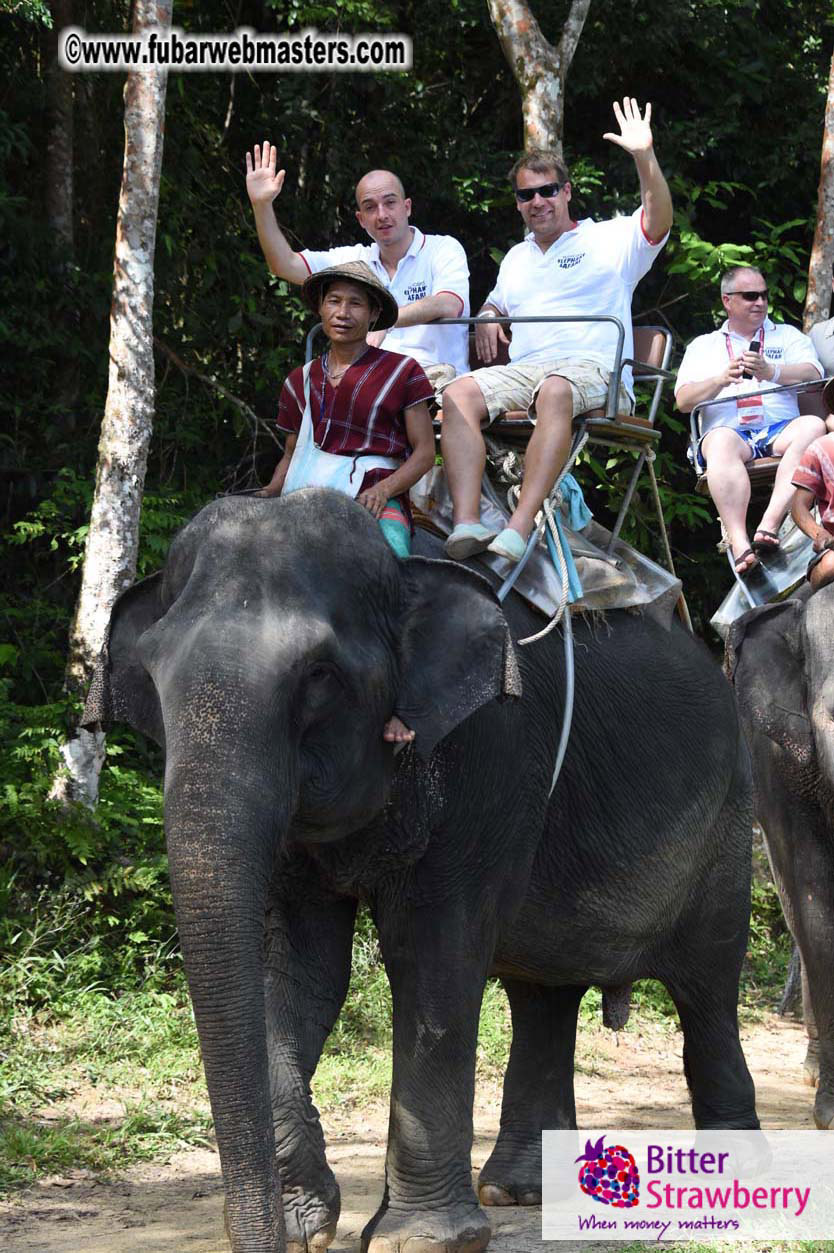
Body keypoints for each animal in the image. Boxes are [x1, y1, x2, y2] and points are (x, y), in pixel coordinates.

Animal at [83, 488, 759, 1253]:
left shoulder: (491, 752)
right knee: (544, 991)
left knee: (708, 982)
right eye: (153, 675)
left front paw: (423, 1238)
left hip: (728, 818)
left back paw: (729, 1180)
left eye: (319, 677)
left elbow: (433, 954)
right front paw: (307, 1224)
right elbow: (298, 969)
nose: (268, 1237)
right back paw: (520, 1191)